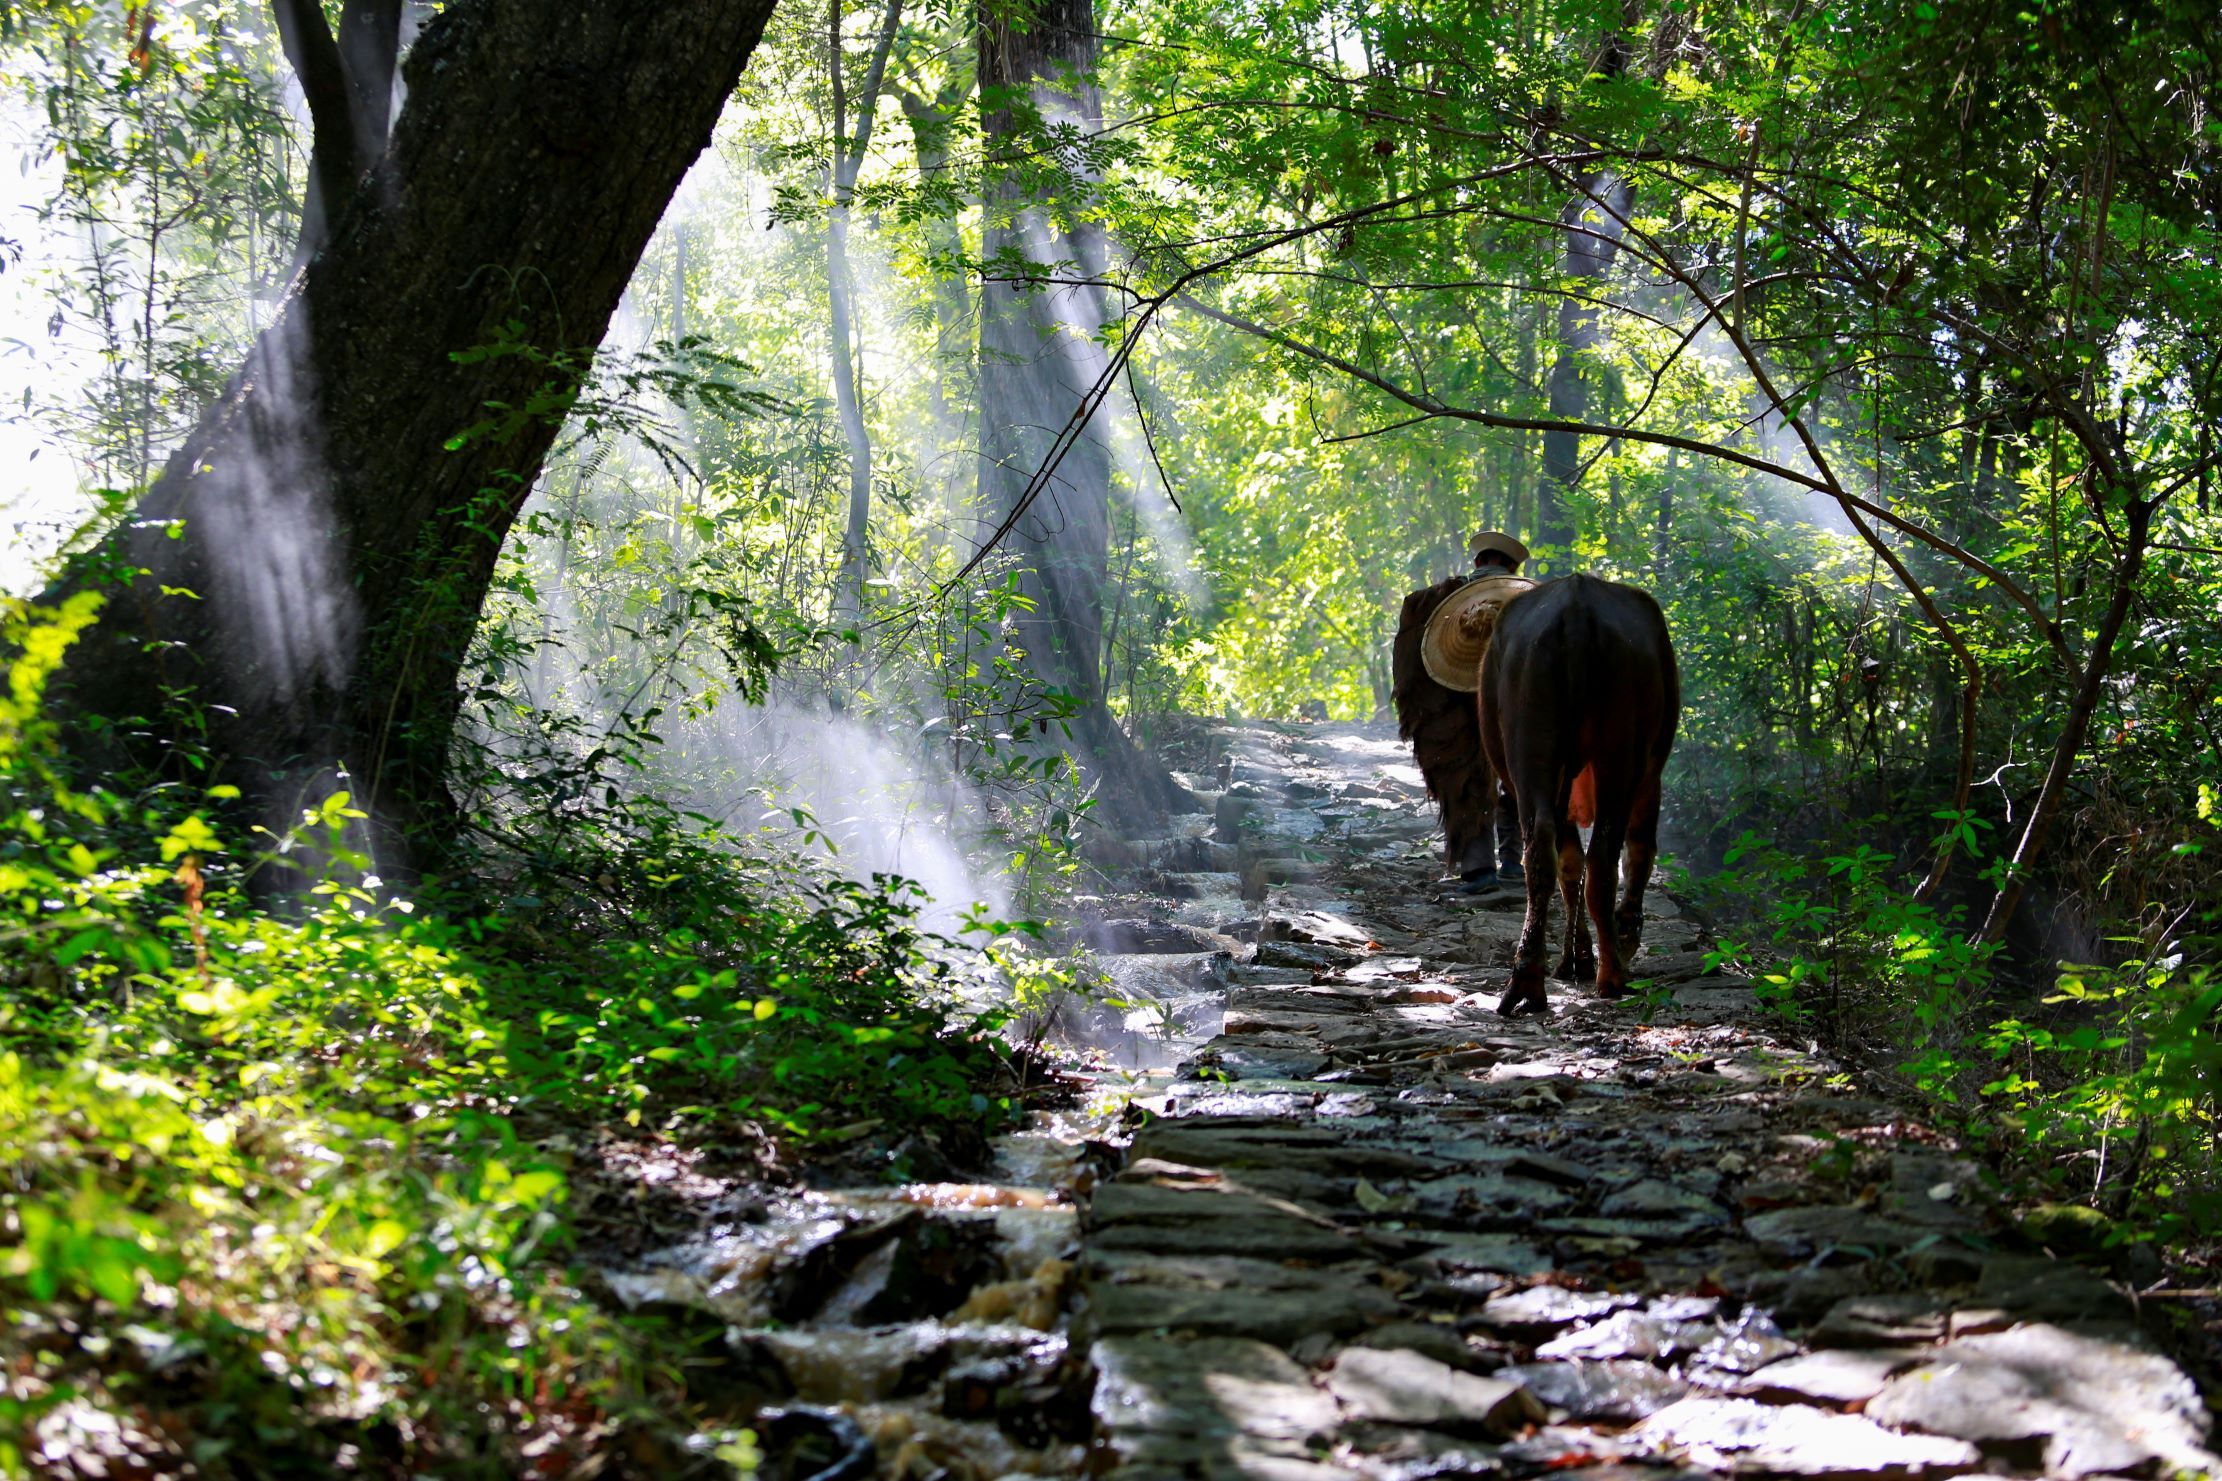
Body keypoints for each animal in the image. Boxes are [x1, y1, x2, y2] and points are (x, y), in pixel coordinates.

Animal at [1484, 572, 1670, 1012]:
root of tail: (1575, 609)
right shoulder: (1649, 773)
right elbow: (1637, 850)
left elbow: (1569, 864)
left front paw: (1575, 959)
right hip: (1622, 749)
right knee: (1606, 853)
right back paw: (1614, 971)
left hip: (1530, 740)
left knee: (1541, 846)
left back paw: (1526, 981)